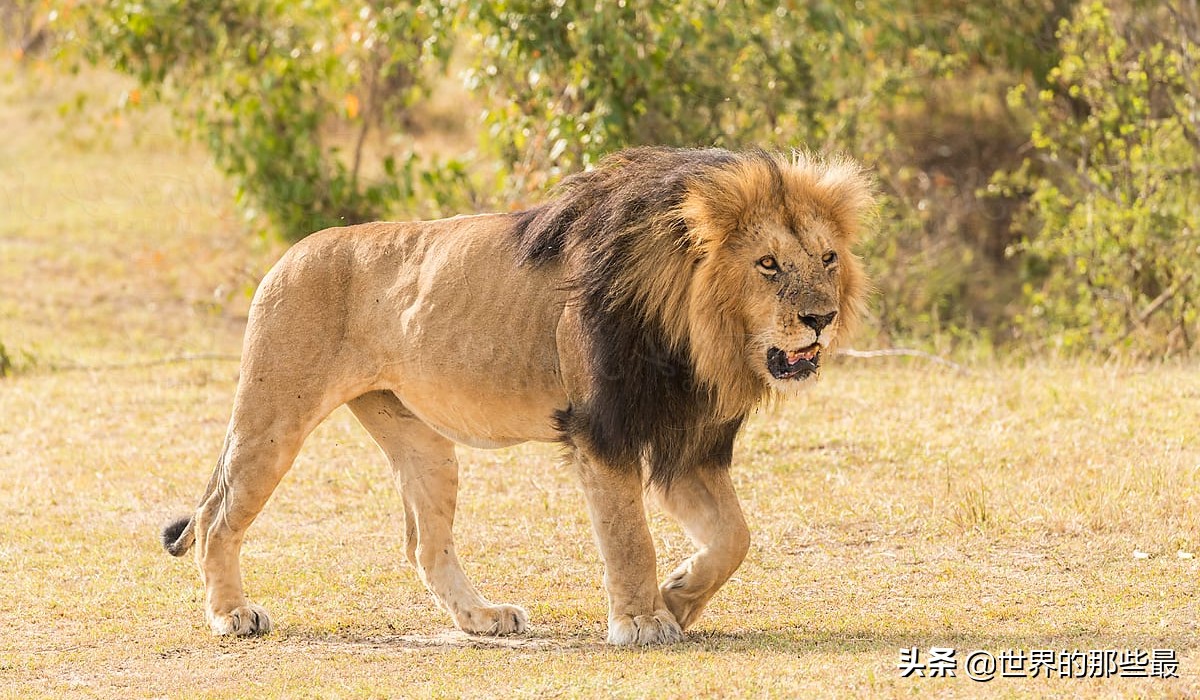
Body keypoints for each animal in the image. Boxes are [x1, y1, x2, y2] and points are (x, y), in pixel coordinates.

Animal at [162, 146, 873, 648]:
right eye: (768, 264)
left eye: (828, 258)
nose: (821, 318)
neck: (697, 332)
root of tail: (294, 250)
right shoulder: (601, 430)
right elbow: (629, 536)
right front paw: (643, 621)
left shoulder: (688, 443)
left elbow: (734, 537)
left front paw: (675, 597)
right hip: (273, 417)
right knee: (218, 518)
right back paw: (232, 616)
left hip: (420, 441)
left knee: (426, 546)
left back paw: (482, 618)